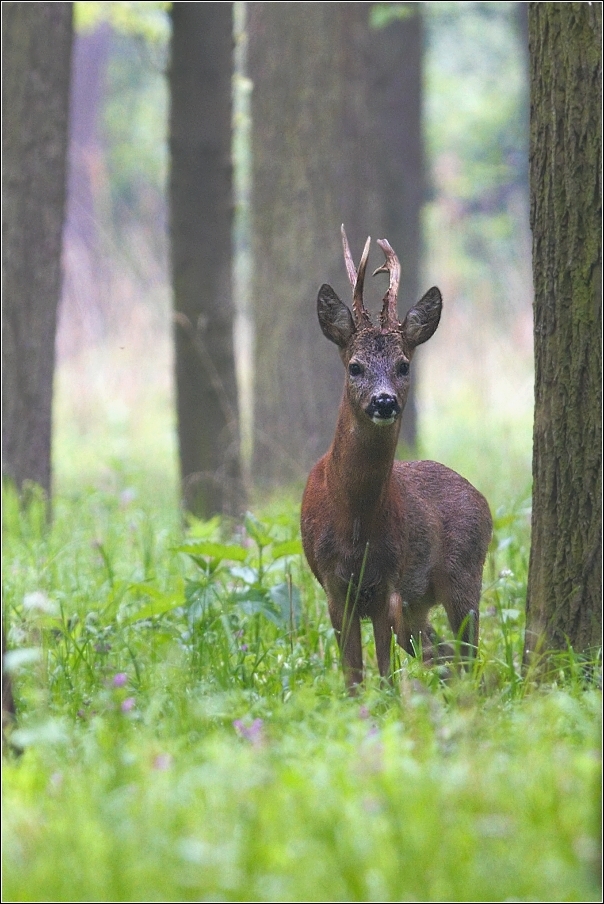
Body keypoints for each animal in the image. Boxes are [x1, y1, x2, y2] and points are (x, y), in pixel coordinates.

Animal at [300, 230, 494, 688]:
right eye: (354, 366)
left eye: (404, 365)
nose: (384, 401)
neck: (353, 521)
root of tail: (482, 500)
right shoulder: (334, 587)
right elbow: (353, 675)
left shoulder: (389, 581)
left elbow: (385, 671)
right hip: (418, 604)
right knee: (442, 655)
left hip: (463, 575)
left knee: (465, 656)